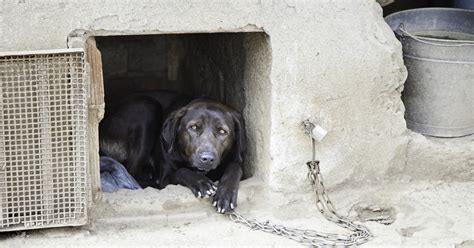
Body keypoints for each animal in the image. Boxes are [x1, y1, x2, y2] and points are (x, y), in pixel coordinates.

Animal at [98, 91, 246, 213]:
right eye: (193, 127)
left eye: (222, 131)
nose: (207, 159)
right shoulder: (166, 177)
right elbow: (181, 171)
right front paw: (201, 183)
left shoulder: (234, 159)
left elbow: (235, 168)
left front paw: (225, 195)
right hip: (146, 107)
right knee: (132, 174)